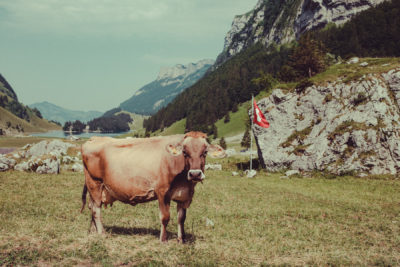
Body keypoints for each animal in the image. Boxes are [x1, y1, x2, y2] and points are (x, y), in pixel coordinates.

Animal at [80, 132, 225, 243]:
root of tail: (94, 138)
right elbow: (165, 217)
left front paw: (181, 240)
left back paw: (93, 231)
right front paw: (163, 240)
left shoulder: (184, 197)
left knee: (91, 207)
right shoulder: (162, 192)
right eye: (184, 152)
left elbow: (181, 218)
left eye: (205, 152)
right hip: (94, 183)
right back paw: (102, 233)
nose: (195, 174)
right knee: (96, 210)